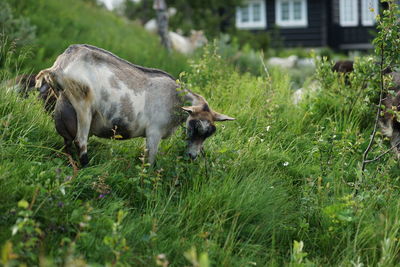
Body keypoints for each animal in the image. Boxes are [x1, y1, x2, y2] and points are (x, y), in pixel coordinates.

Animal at [36, 44, 234, 166]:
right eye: (194, 126)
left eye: (209, 133)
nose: (192, 156)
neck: (174, 98)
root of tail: (60, 64)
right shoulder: (154, 132)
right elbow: (150, 161)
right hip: (83, 103)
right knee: (80, 141)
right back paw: (87, 166)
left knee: (67, 141)